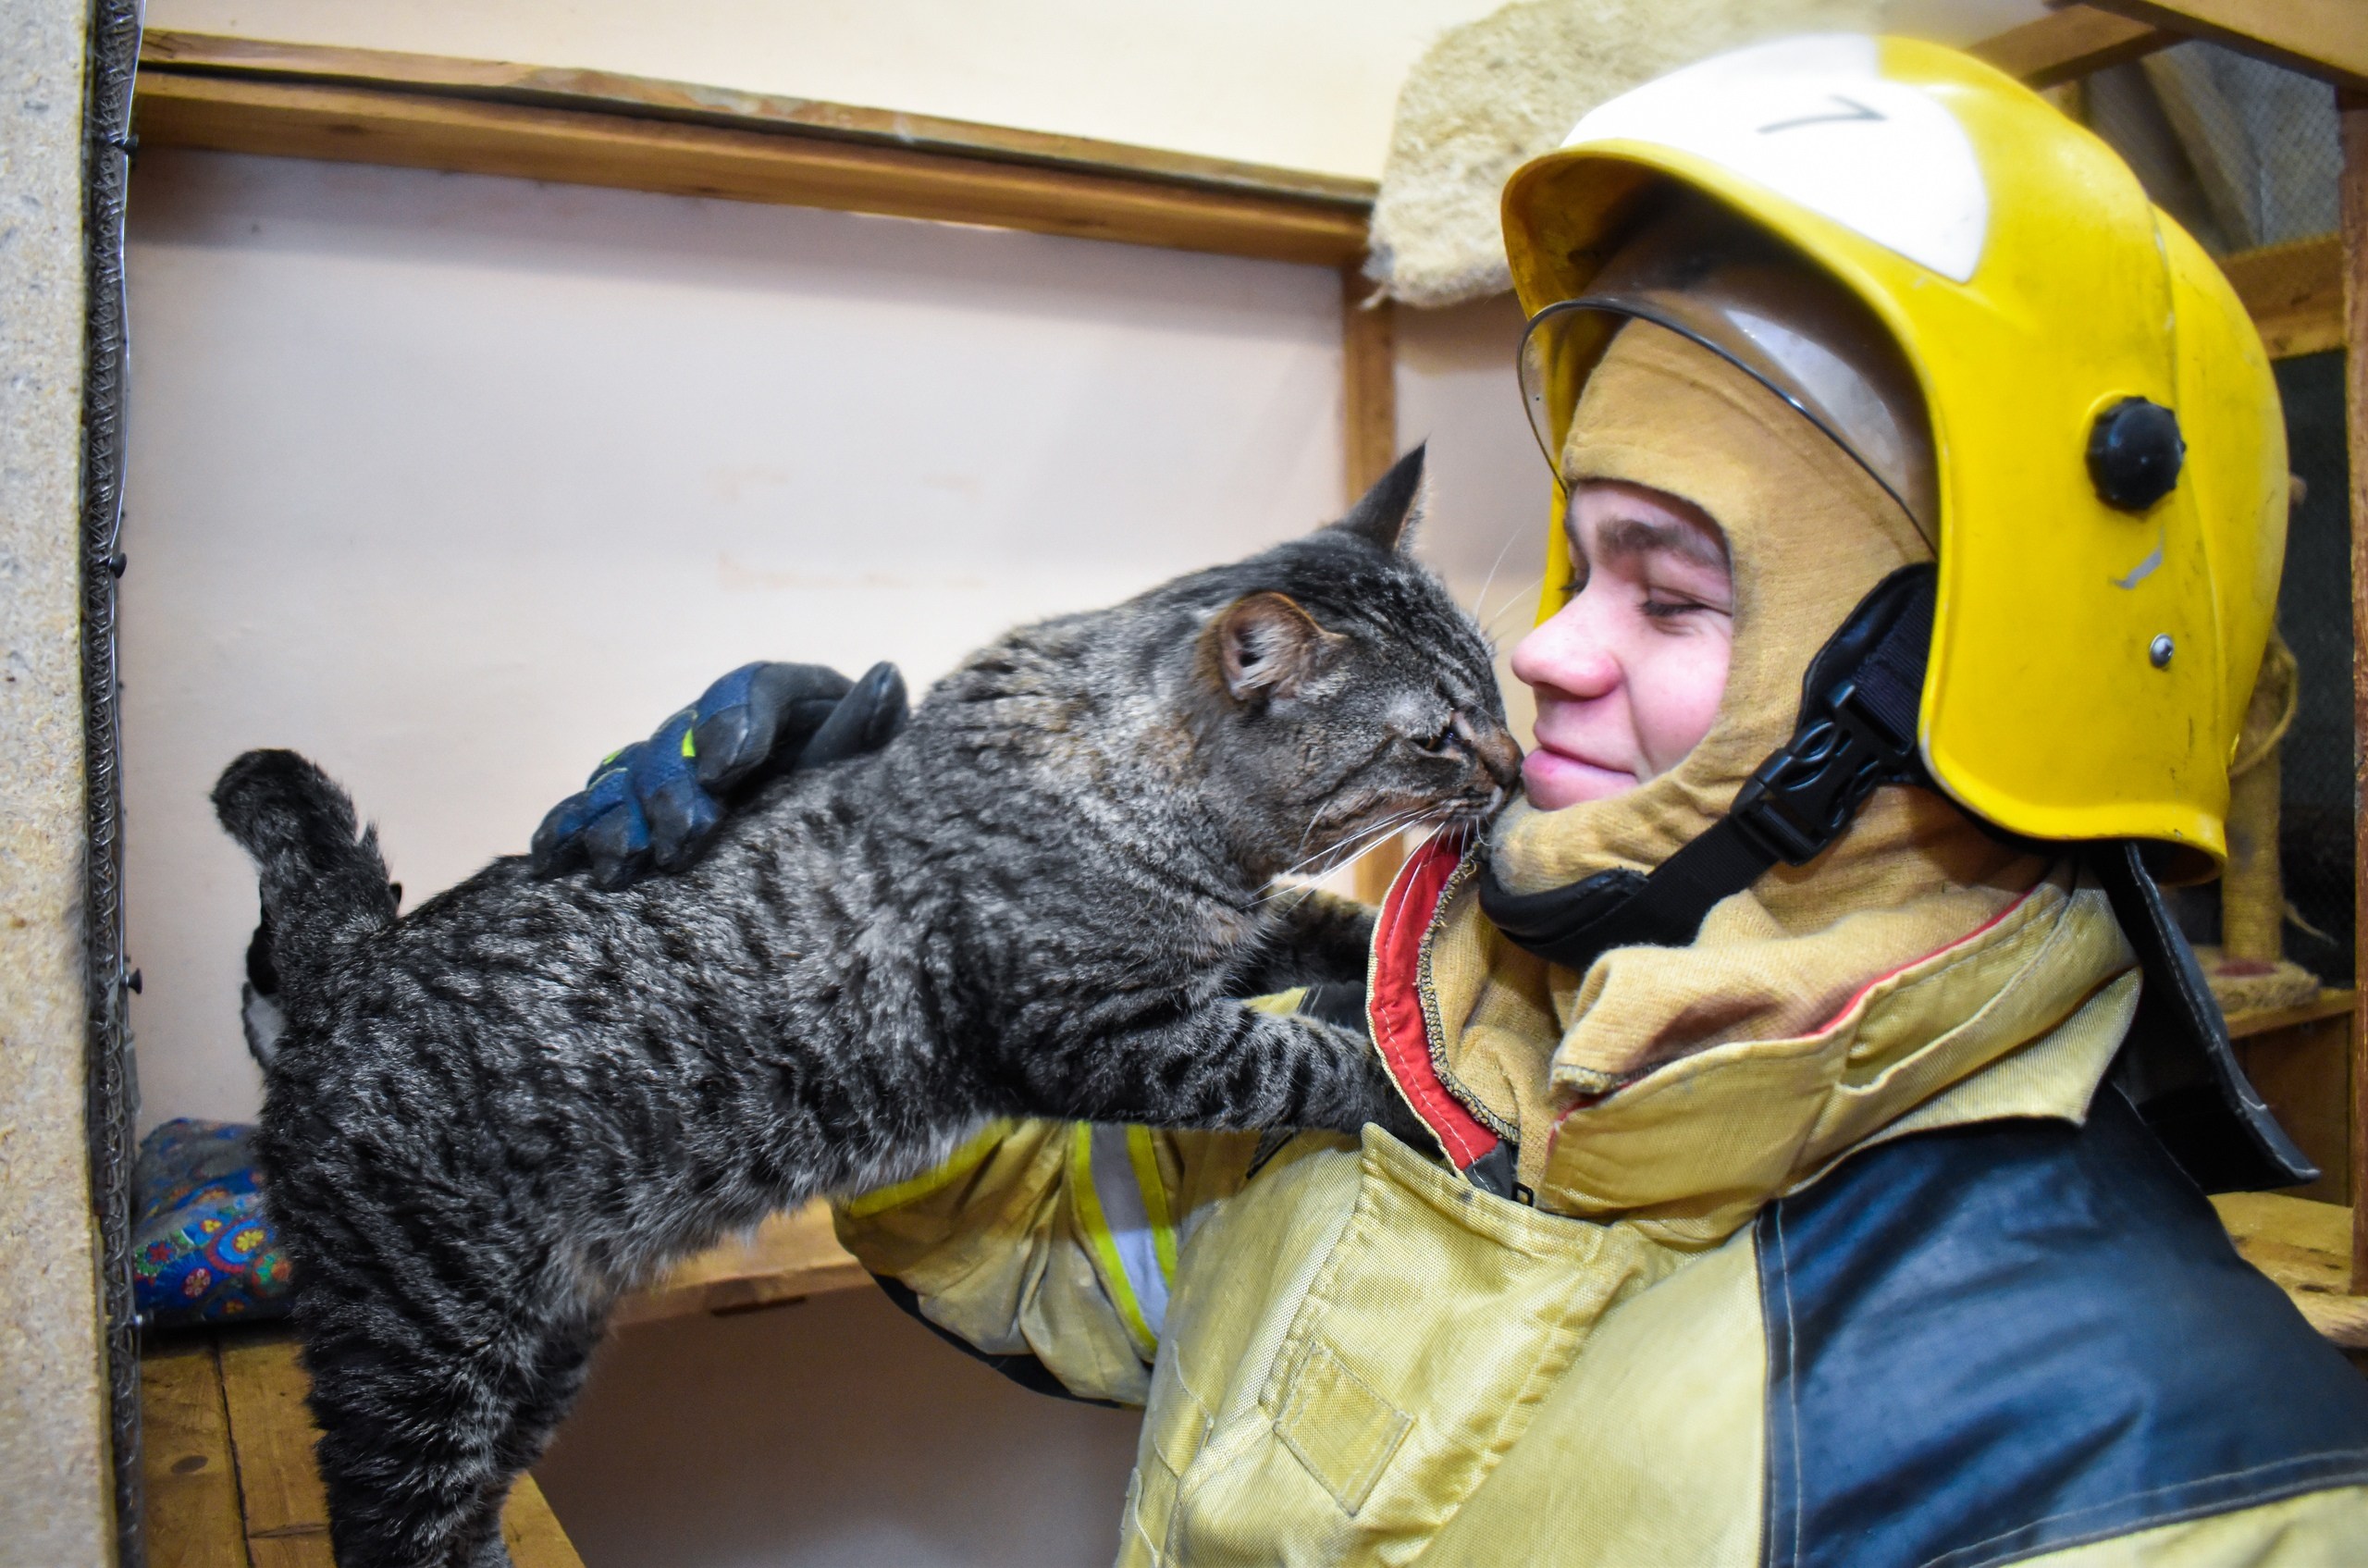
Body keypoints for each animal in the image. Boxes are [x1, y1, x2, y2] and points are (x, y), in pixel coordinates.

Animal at [217, 447, 1515, 1562]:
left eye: (1497, 692)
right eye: (1436, 737)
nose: (1513, 767)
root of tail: (349, 967)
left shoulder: (1222, 947)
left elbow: (1327, 928)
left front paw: (1392, 981)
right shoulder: (1106, 1033)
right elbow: (1291, 1059)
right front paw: (1399, 1081)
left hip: (542, 1345)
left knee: (475, 1505)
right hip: (417, 1347)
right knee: (394, 1525)